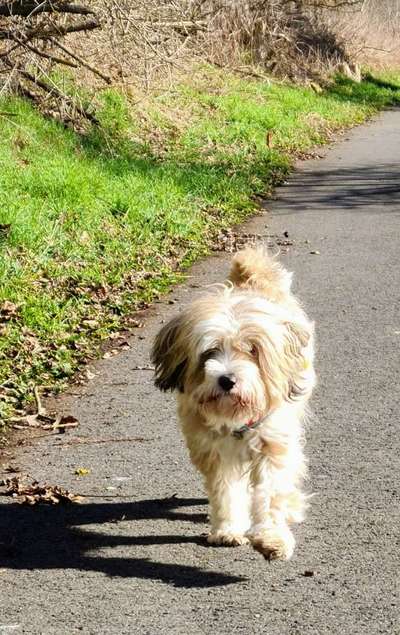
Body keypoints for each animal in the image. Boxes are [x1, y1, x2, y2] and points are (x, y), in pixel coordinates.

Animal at [152, 248, 314, 560]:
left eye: (252, 350)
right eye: (209, 352)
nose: (227, 379)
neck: (236, 420)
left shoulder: (273, 444)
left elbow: (272, 493)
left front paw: (272, 536)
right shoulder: (214, 451)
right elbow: (225, 491)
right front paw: (227, 529)